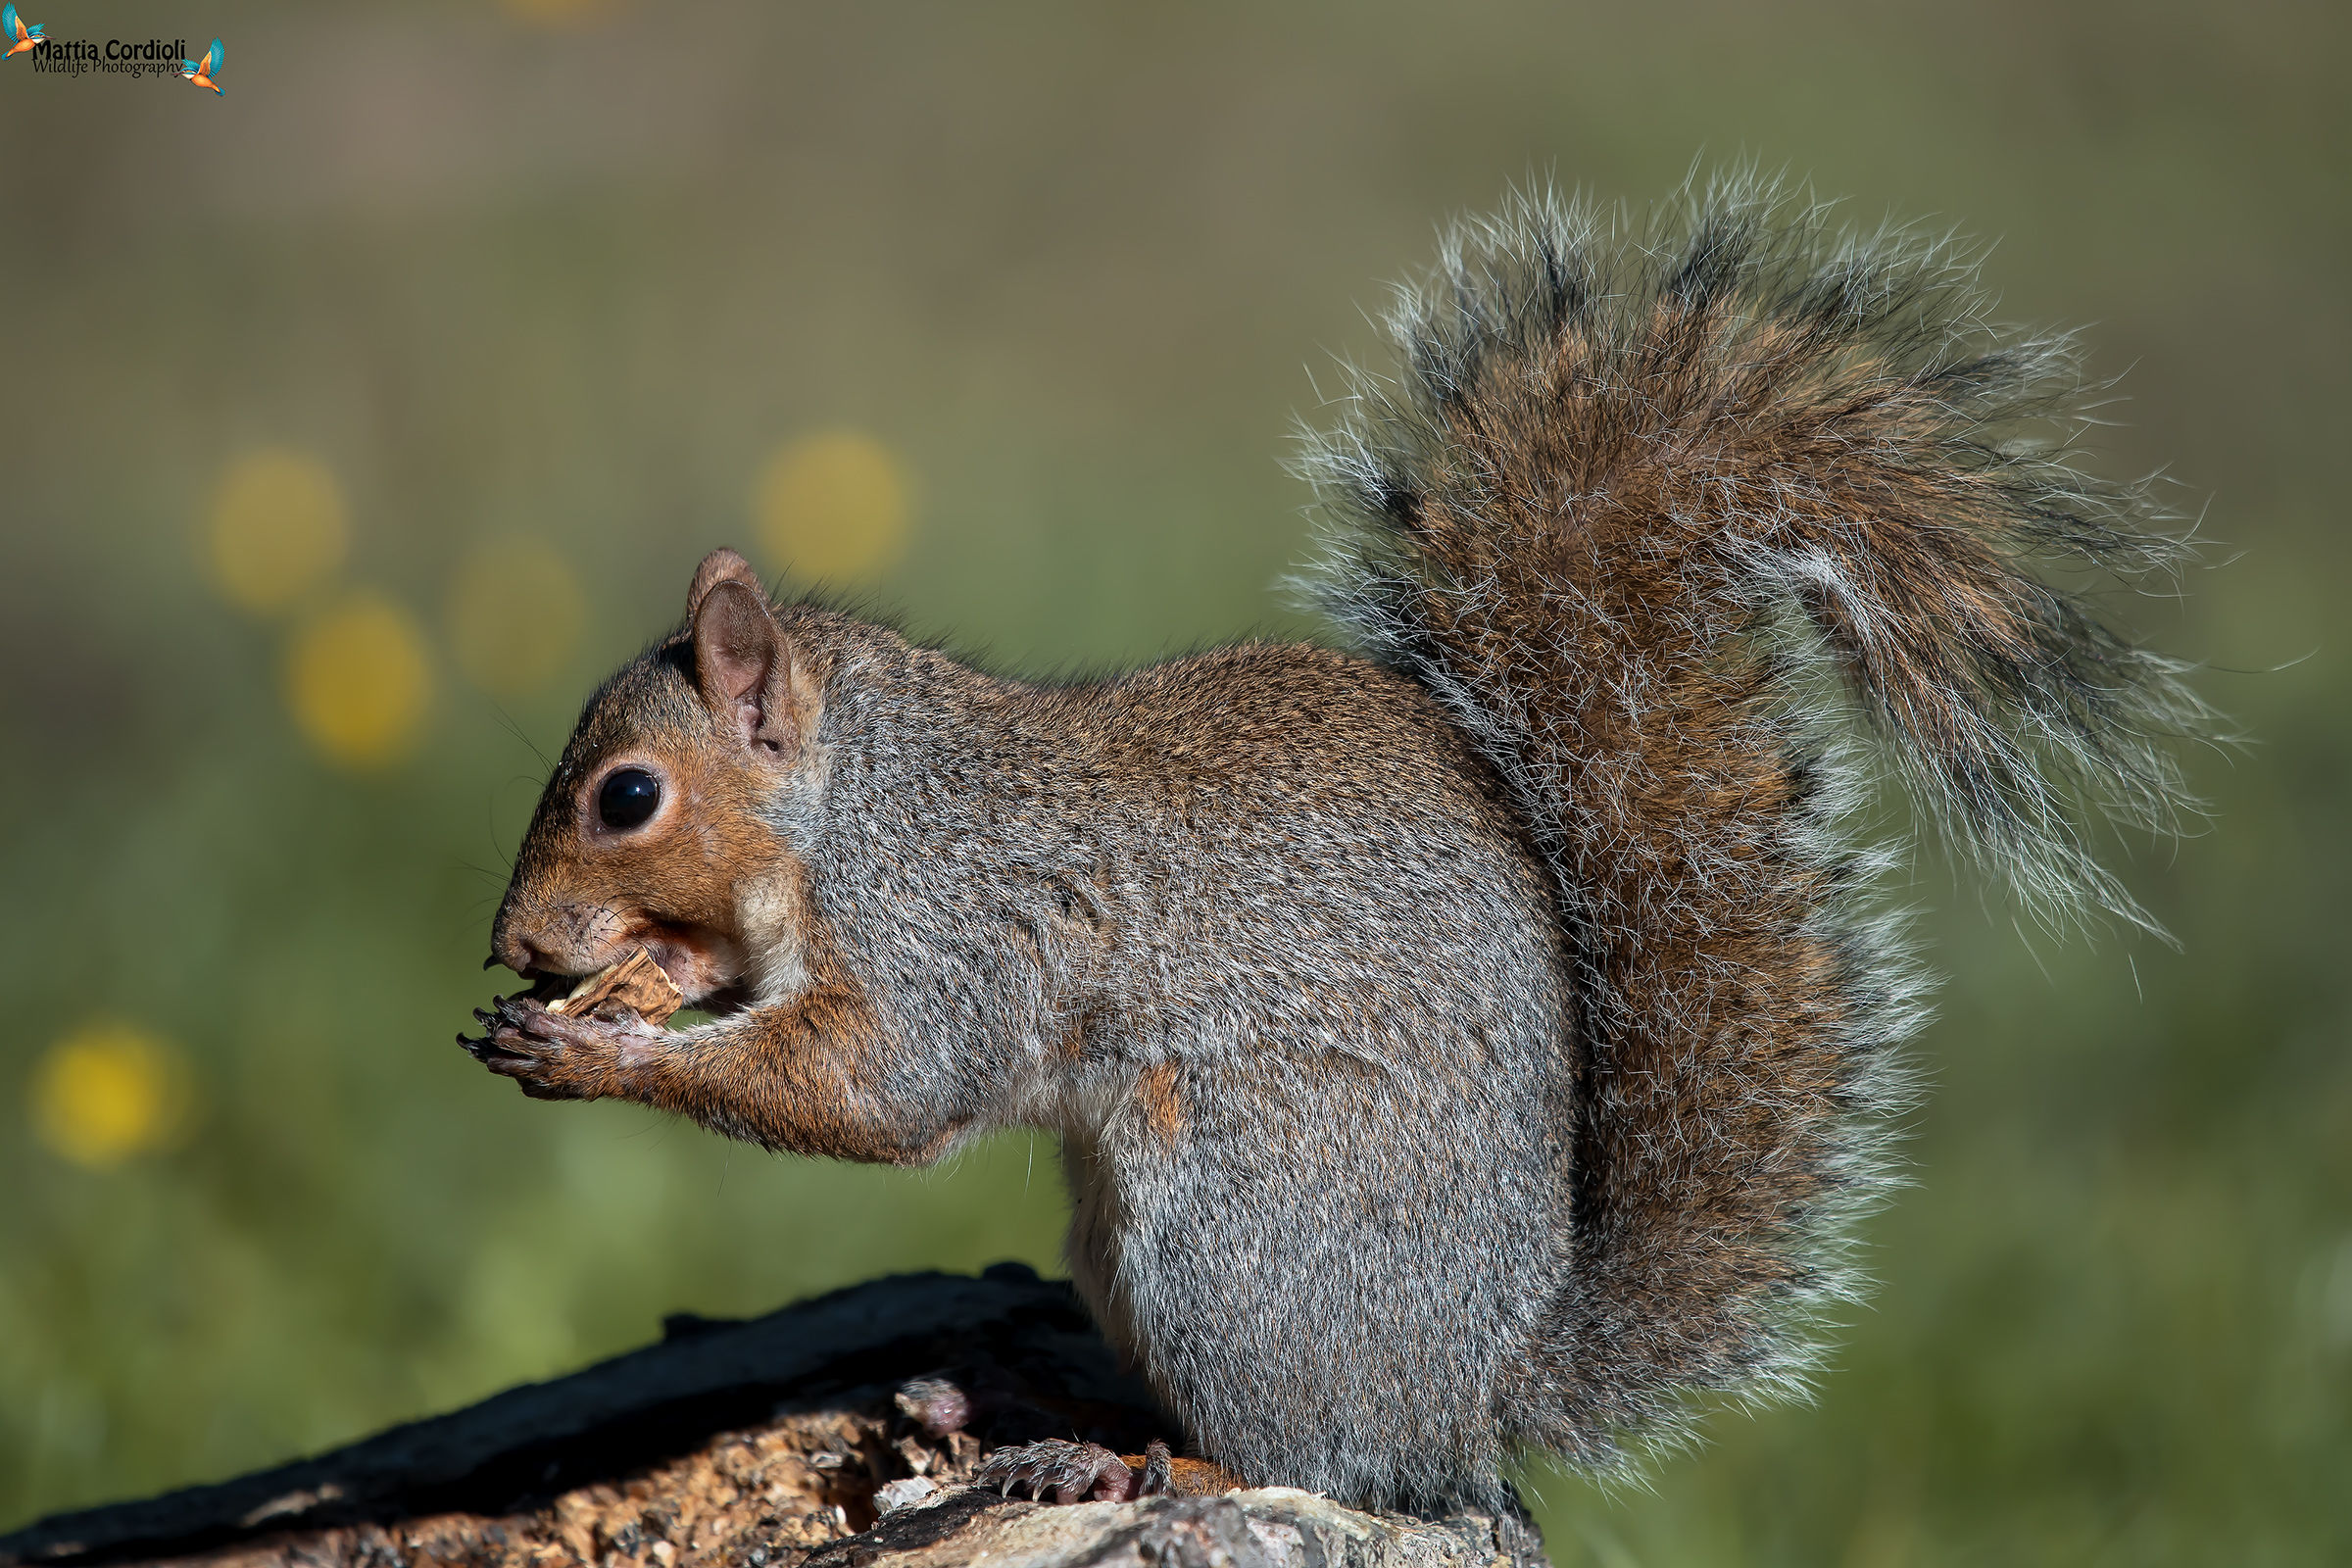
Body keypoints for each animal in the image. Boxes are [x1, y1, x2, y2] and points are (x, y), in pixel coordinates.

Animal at [461, 175, 2208, 1517]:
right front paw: (614, 998)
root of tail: (1478, 1386)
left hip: (1231, 1228)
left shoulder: (945, 925)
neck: (854, 805)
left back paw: (1110, 1461)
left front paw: (596, 1052)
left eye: (628, 797)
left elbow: (880, 1090)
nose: (519, 944)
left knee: (1293, 1454)